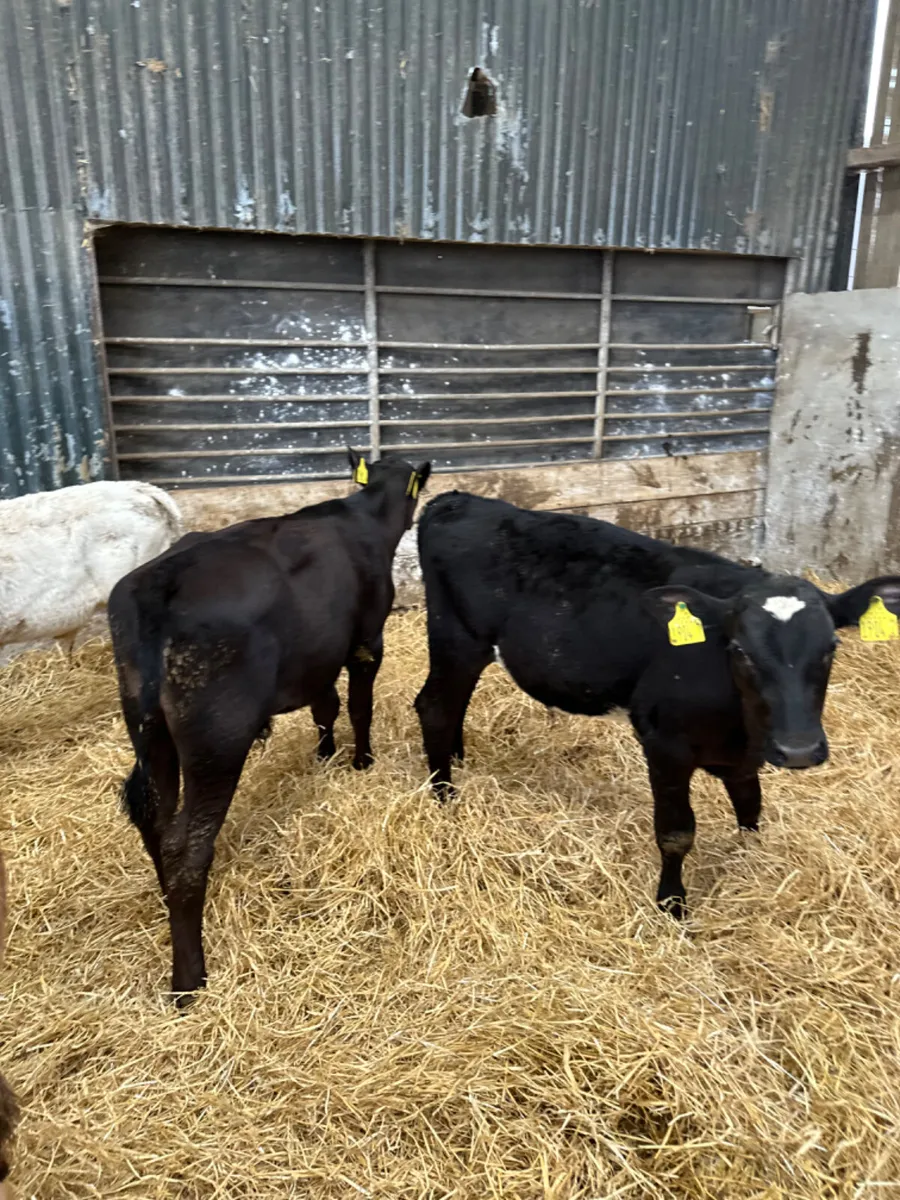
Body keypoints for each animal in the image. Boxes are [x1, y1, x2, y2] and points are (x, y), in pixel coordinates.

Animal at [108, 450, 431, 1004]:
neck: (363, 517)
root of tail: (155, 587)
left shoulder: (316, 657)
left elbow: (325, 707)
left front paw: (325, 754)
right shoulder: (367, 639)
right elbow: (359, 706)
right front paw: (361, 759)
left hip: (150, 733)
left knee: (154, 820)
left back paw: (165, 901)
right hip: (216, 740)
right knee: (187, 846)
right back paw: (189, 979)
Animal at [413, 492, 900, 916]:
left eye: (831, 647)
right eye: (740, 650)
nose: (798, 750)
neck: (739, 726)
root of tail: (458, 499)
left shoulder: (743, 756)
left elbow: (751, 808)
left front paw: (750, 858)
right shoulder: (664, 742)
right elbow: (676, 832)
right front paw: (672, 904)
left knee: (456, 704)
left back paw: (457, 761)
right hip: (457, 638)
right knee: (434, 707)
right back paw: (444, 795)